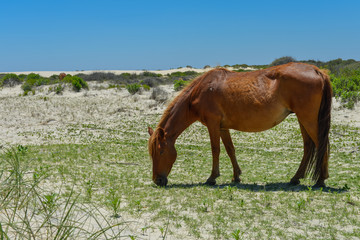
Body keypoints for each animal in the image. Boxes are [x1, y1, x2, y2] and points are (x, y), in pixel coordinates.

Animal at [147, 63, 332, 188]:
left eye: (161, 151)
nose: (157, 180)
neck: (201, 91)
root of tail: (317, 71)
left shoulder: (213, 124)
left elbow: (215, 150)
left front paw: (212, 178)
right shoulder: (223, 127)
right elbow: (230, 149)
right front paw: (236, 176)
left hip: (308, 120)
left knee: (322, 145)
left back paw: (320, 180)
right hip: (303, 120)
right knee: (308, 147)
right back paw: (296, 178)